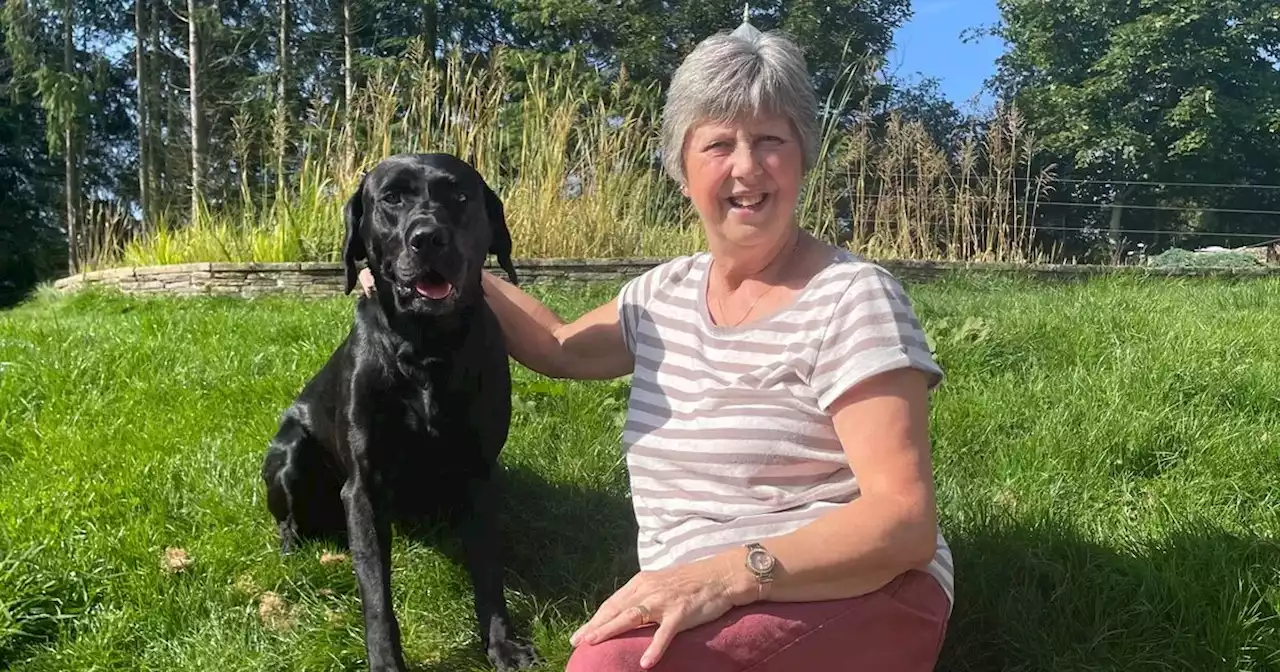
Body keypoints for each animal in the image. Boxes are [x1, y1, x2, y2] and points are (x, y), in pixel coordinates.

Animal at [259, 152, 535, 670]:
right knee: (289, 520)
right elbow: (377, 597)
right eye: (391, 199)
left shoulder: (479, 474)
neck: (427, 350)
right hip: (290, 454)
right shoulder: (363, 490)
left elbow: (488, 570)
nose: (428, 237)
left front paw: (502, 644)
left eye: (459, 195)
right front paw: (386, 662)